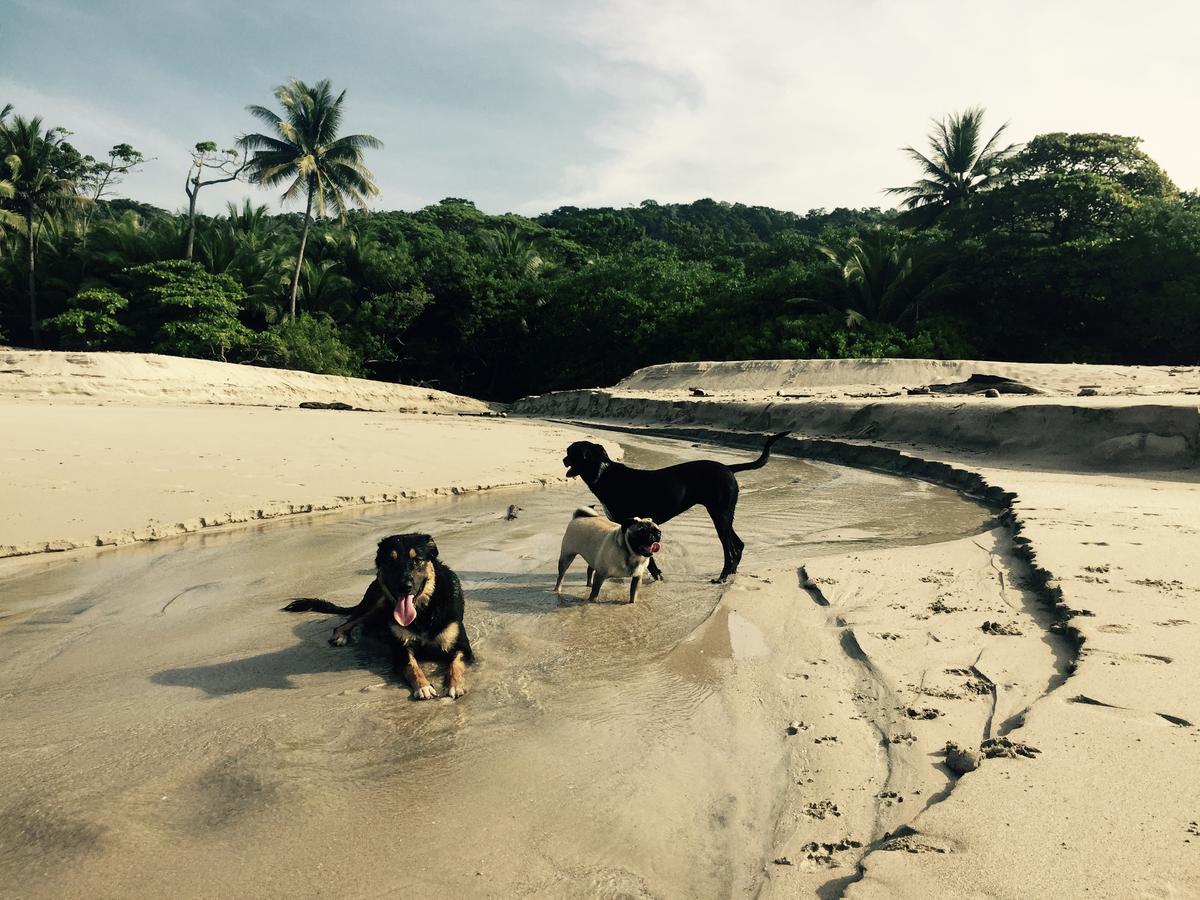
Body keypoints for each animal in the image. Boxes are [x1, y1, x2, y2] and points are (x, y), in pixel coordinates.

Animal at [283, 535, 475, 705]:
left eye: (417, 560)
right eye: (390, 561)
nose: (404, 587)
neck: (423, 611)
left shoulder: (463, 647)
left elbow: (456, 663)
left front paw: (455, 685)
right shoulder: (400, 649)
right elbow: (412, 666)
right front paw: (424, 686)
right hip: (376, 602)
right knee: (345, 623)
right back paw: (341, 636)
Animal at [559, 432, 787, 585]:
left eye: (571, 452)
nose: (562, 459)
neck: (603, 473)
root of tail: (728, 468)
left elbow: (648, 558)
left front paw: (656, 574)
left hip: (720, 515)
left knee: (729, 549)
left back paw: (722, 576)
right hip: (724, 514)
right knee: (738, 545)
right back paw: (731, 573)